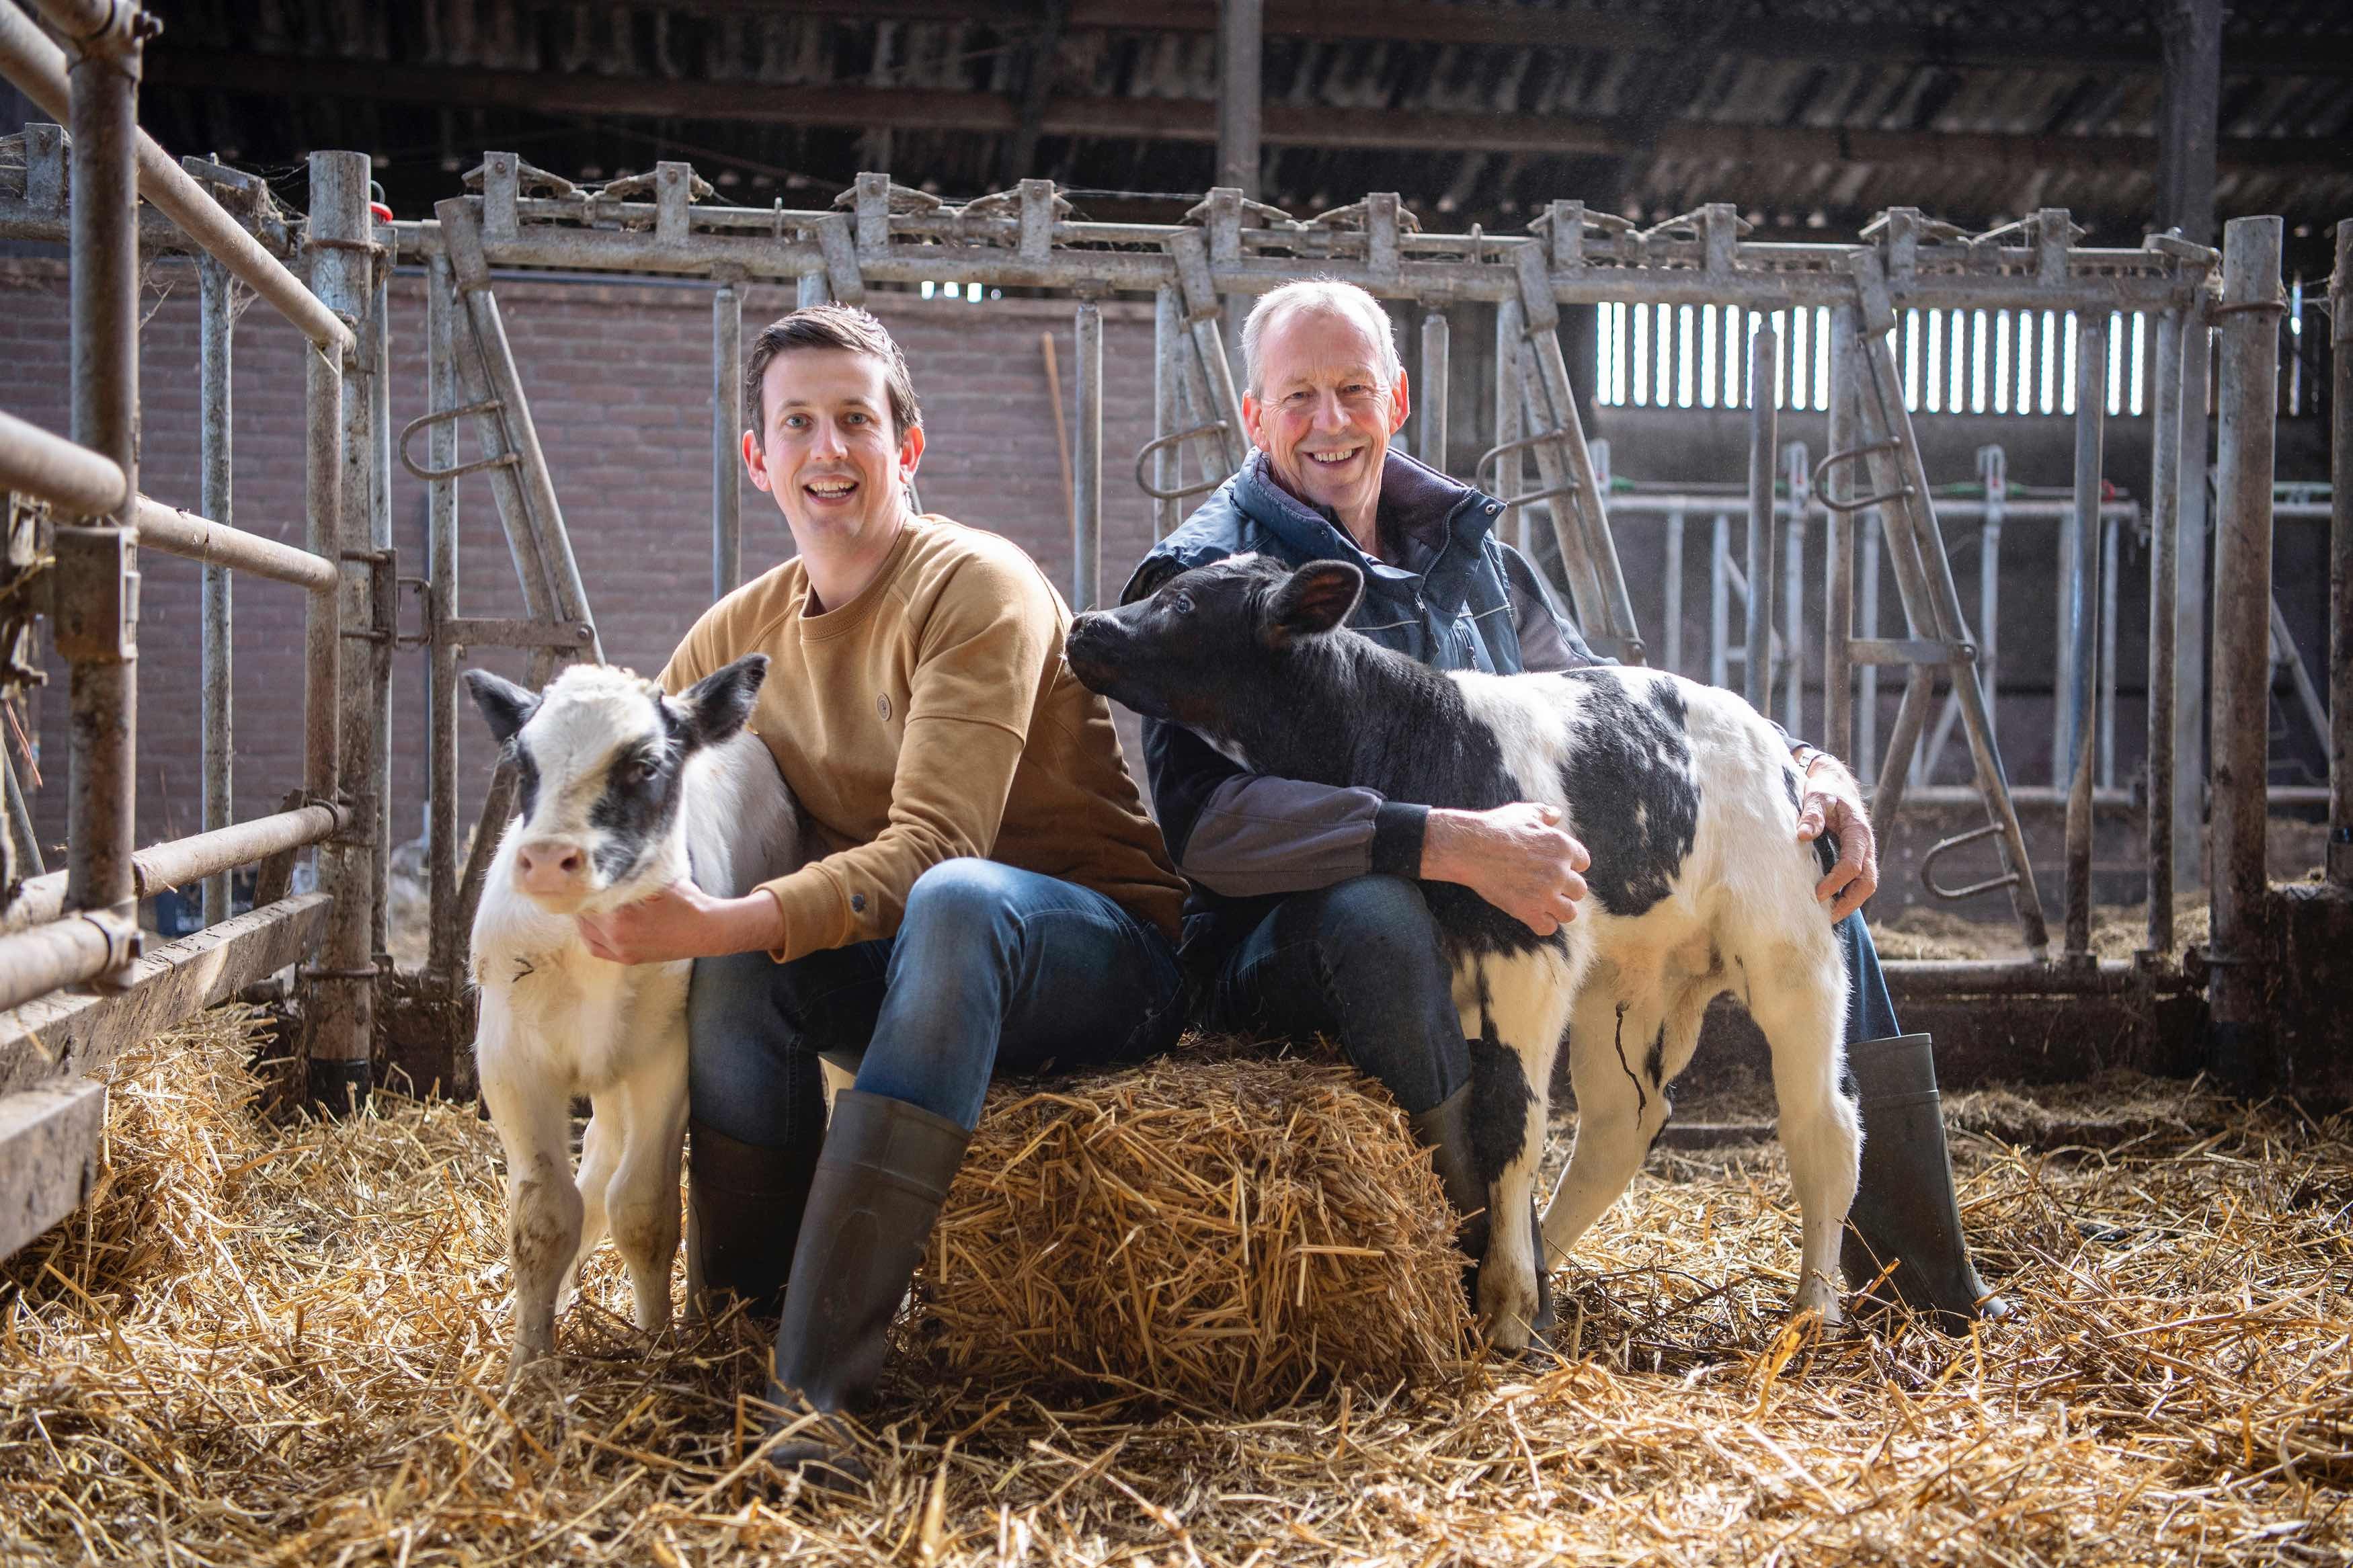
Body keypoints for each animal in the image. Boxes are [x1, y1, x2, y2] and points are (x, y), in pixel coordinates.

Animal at [458, 658, 809, 1382]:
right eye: (522, 762)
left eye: (644, 765)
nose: (547, 859)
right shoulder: (511, 1062)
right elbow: (542, 1214)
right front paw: (529, 1363)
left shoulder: (662, 1059)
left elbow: (645, 1209)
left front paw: (655, 1343)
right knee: (591, 1168)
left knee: (606, 1170)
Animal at [1068, 552, 1854, 1354]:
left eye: (1184, 603)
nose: (1086, 624)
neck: (1415, 740)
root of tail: (1774, 744)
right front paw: (1508, 1289)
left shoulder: (1528, 948)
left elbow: (1509, 1119)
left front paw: (1505, 1304)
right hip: (1628, 983)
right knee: (1621, 1122)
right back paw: (1554, 1272)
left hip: (1791, 949)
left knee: (1821, 1120)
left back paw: (1813, 1309)